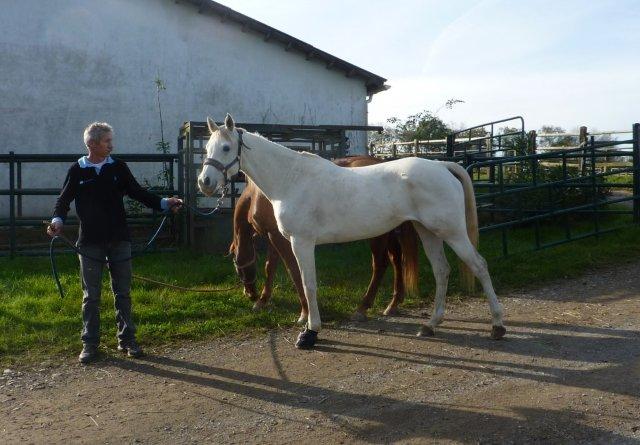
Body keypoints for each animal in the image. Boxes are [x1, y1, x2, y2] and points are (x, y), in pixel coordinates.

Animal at [230, 155, 420, 322]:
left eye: (237, 266)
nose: (249, 294)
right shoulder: (273, 237)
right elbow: (270, 268)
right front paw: (263, 300)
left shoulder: (279, 237)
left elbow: (293, 271)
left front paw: (305, 311)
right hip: (387, 230)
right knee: (396, 259)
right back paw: (393, 304)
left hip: (378, 234)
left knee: (380, 265)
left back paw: (362, 308)